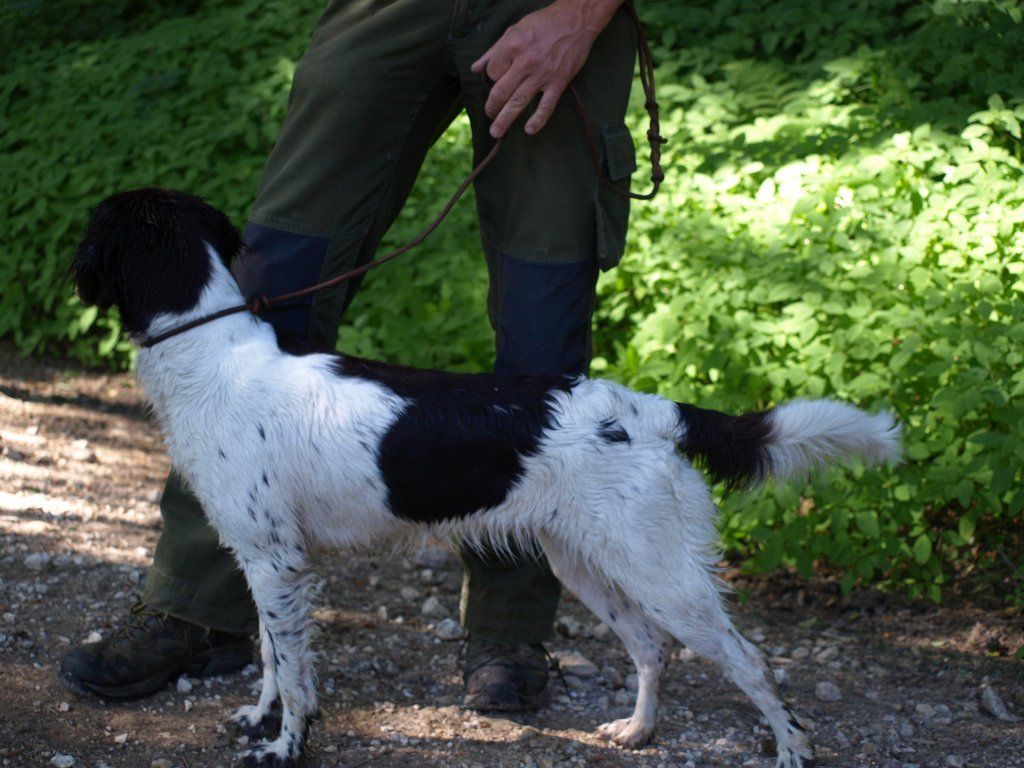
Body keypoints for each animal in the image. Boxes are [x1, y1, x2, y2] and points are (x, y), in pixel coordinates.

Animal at [70, 188, 897, 768]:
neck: (213, 356)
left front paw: (285, 745)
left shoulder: (276, 562)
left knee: (748, 661)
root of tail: (652, 408)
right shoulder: (264, 558)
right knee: (652, 649)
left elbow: (296, 671)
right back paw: (637, 731)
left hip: (663, 575)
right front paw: (262, 718)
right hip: (585, 563)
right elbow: (275, 657)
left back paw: (792, 748)